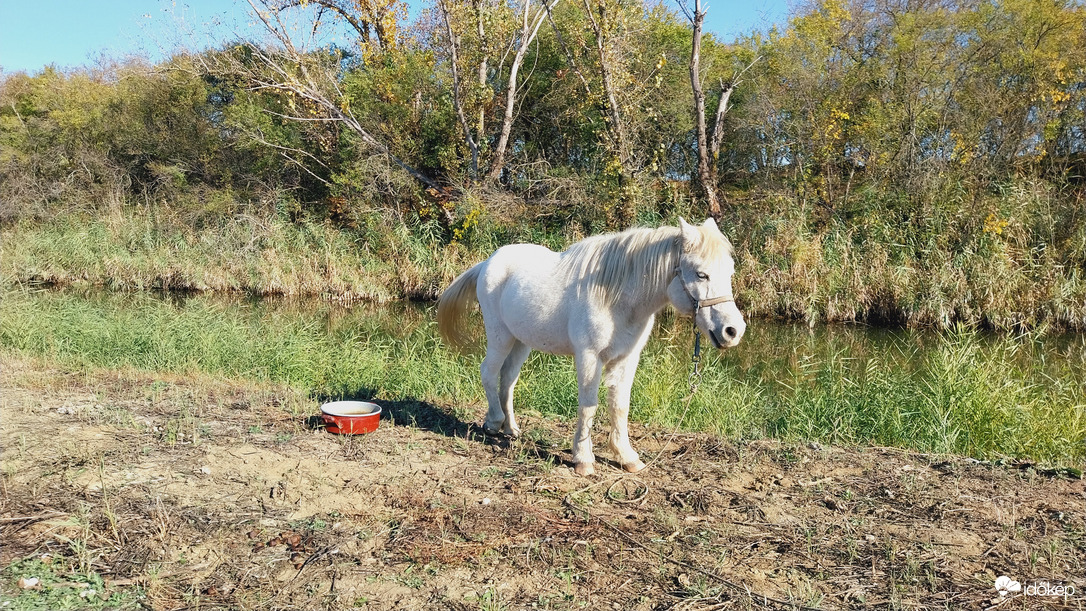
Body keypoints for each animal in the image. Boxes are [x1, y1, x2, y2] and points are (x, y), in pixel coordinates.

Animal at [436, 220, 742, 477]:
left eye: (729, 272)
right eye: (701, 274)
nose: (733, 331)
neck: (615, 297)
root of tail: (488, 261)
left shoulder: (627, 359)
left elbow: (620, 406)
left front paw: (627, 457)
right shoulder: (589, 357)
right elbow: (588, 406)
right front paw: (583, 459)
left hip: (520, 341)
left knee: (508, 379)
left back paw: (511, 429)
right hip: (499, 335)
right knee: (489, 371)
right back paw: (493, 423)